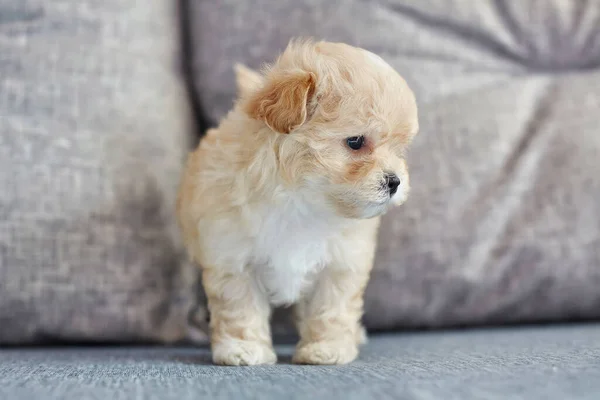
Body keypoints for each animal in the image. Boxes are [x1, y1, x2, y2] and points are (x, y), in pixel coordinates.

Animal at [177, 40, 418, 366]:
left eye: (398, 150)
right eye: (355, 142)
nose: (395, 181)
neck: (301, 200)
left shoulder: (341, 263)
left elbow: (332, 308)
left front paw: (327, 348)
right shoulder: (232, 257)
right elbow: (240, 307)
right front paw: (243, 348)